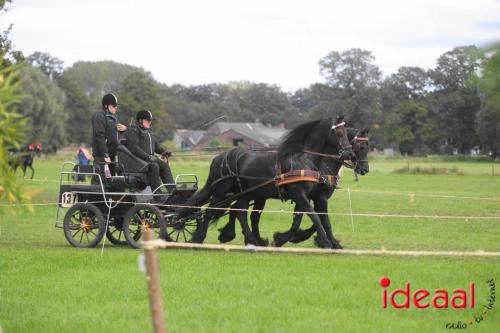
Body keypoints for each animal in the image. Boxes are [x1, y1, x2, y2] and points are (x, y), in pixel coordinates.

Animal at [179, 115, 356, 248]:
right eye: (338, 133)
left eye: (347, 135)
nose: (350, 155)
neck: (303, 161)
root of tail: (220, 157)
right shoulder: (300, 195)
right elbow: (315, 217)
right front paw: (325, 242)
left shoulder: (314, 196)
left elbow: (320, 219)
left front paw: (333, 243)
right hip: (222, 192)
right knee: (211, 211)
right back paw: (200, 238)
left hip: (245, 194)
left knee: (241, 213)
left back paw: (251, 240)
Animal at [219, 127, 372, 246]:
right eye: (361, 146)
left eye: (367, 146)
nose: (365, 169)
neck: (322, 164)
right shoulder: (316, 196)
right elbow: (319, 219)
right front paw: (288, 238)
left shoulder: (309, 197)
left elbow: (307, 219)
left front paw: (296, 237)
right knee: (241, 211)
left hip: (257, 195)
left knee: (240, 211)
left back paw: (235, 235)